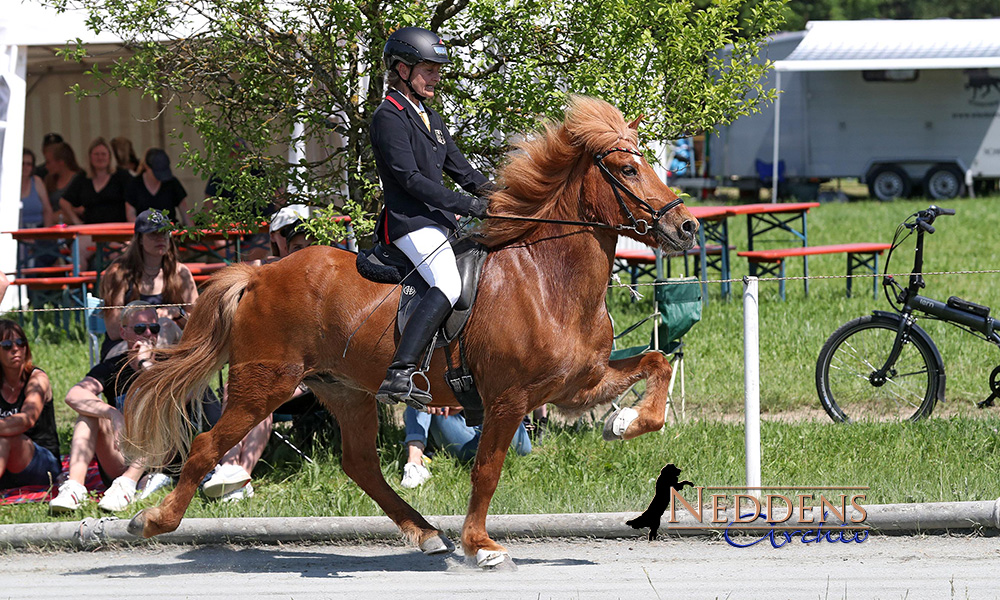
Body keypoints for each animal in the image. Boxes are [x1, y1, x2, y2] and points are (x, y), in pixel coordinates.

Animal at [123, 96, 696, 568]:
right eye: (628, 168)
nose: (686, 227)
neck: (545, 276)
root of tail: (260, 274)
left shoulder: (577, 384)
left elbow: (656, 363)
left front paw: (623, 423)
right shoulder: (508, 398)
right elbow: (487, 469)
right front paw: (480, 545)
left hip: (346, 390)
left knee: (359, 464)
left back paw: (424, 533)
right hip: (262, 385)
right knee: (204, 446)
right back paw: (151, 520)